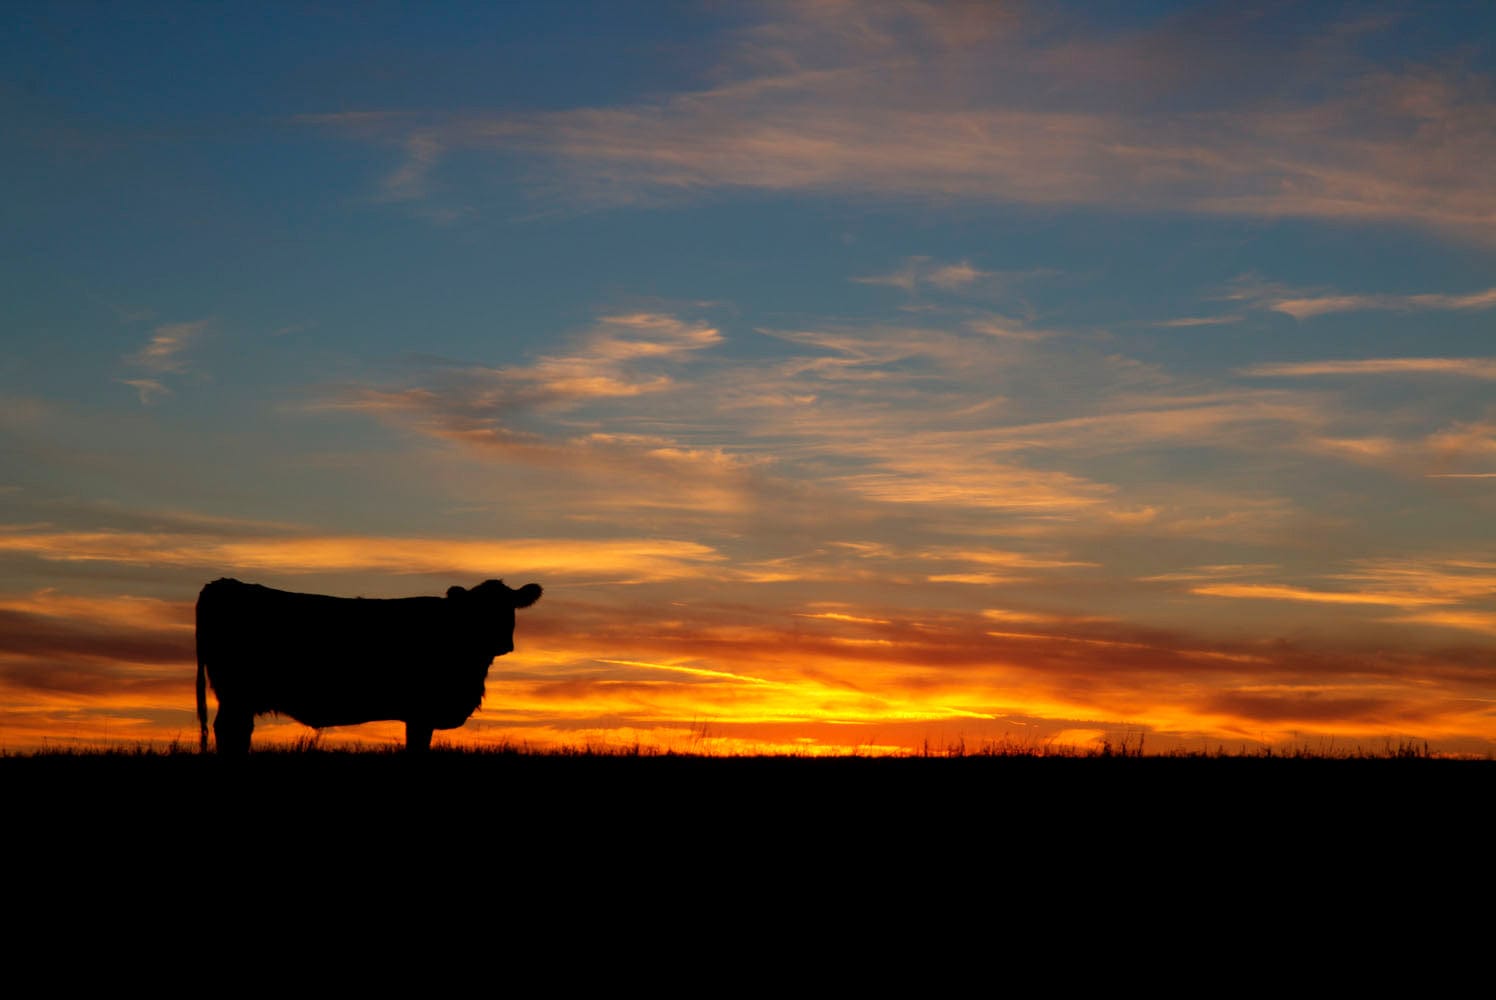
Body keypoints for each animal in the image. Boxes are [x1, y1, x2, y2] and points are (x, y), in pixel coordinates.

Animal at [195, 577, 542, 754]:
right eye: (479, 608)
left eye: (509, 606)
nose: (503, 643)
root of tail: (222, 583)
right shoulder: (420, 712)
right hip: (236, 693)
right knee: (230, 731)